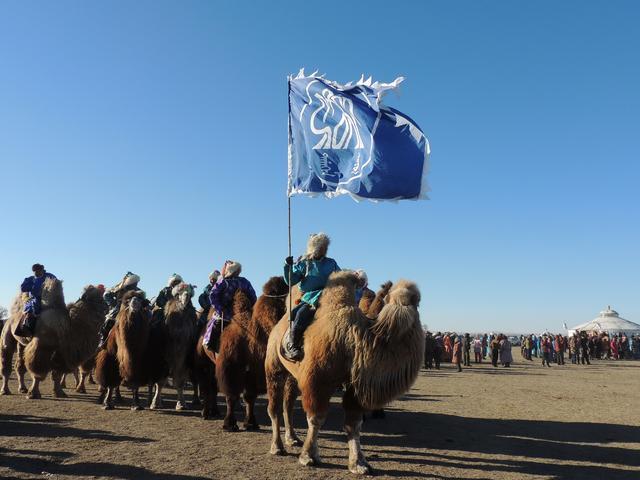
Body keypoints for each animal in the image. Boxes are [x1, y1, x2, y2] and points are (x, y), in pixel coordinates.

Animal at [218, 278, 292, 432]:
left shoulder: (255, 372)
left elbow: (250, 397)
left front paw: (251, 423)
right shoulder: (236, 370)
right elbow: (233, 395)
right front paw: (230, 425)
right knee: (232, 395)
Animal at [264, 272, 424, 474]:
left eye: (416, 300)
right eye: (391, 298)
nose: (405, 308)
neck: (354, 339)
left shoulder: (354, 386)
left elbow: (354, 424)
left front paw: (359, 464)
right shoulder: (317, 380)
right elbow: (316, 418)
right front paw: (309, 456)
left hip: (293, 376)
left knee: (288, 405)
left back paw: (292, 438)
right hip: (273, 365)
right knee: (274, 407)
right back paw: (277, 446)